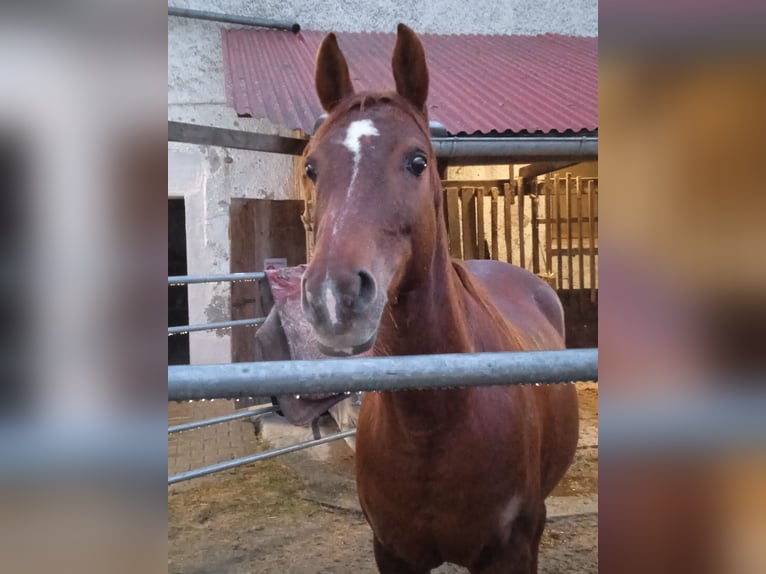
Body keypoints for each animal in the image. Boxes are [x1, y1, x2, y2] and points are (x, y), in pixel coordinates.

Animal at [299, 24, 579, 574]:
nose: (334, 298)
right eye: (313, 168)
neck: (431, 421)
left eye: (417, 161)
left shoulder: (512, 553)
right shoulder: (392, 552)